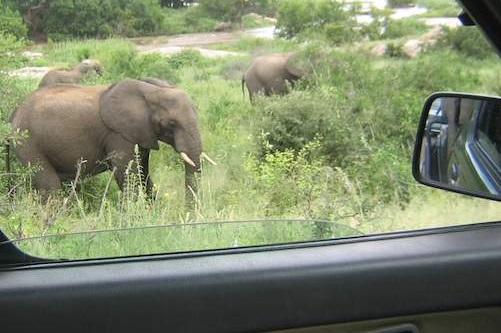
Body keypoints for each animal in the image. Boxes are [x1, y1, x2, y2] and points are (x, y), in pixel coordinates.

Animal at [9, 77, 209, 205]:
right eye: (171, 123)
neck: (151, 90)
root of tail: (13, 114)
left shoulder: (140, 132)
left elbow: (143, 172)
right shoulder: (118, 134)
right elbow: (127, 174)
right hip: (28, 143)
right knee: (50, 186)